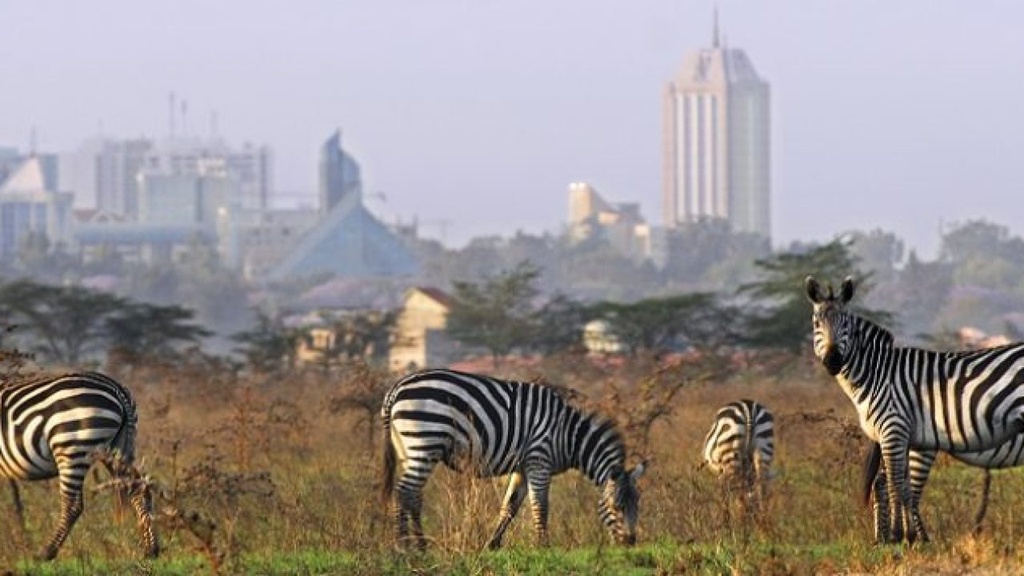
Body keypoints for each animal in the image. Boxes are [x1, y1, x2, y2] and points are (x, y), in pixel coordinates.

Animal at [0, 368, 158, 557]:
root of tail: (117, 389)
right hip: (117, 447)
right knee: (138, 487)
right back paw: (151, 549)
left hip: (72, 446)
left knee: (73, 504)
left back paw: (46, 552)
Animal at [380, 366, 643, 545]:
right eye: (617, 506)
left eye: (637, 505)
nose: (631, 542)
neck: (568, 436)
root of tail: (396, 388)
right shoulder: (539, 460)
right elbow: (540, 506)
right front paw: (543, 546)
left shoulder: (522, 466)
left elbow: (510, 505)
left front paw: (492, 545)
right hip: (425, 440)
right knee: (405, 491)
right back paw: (407, 546)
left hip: (409, 448)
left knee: (412, 494)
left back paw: (416, 546)